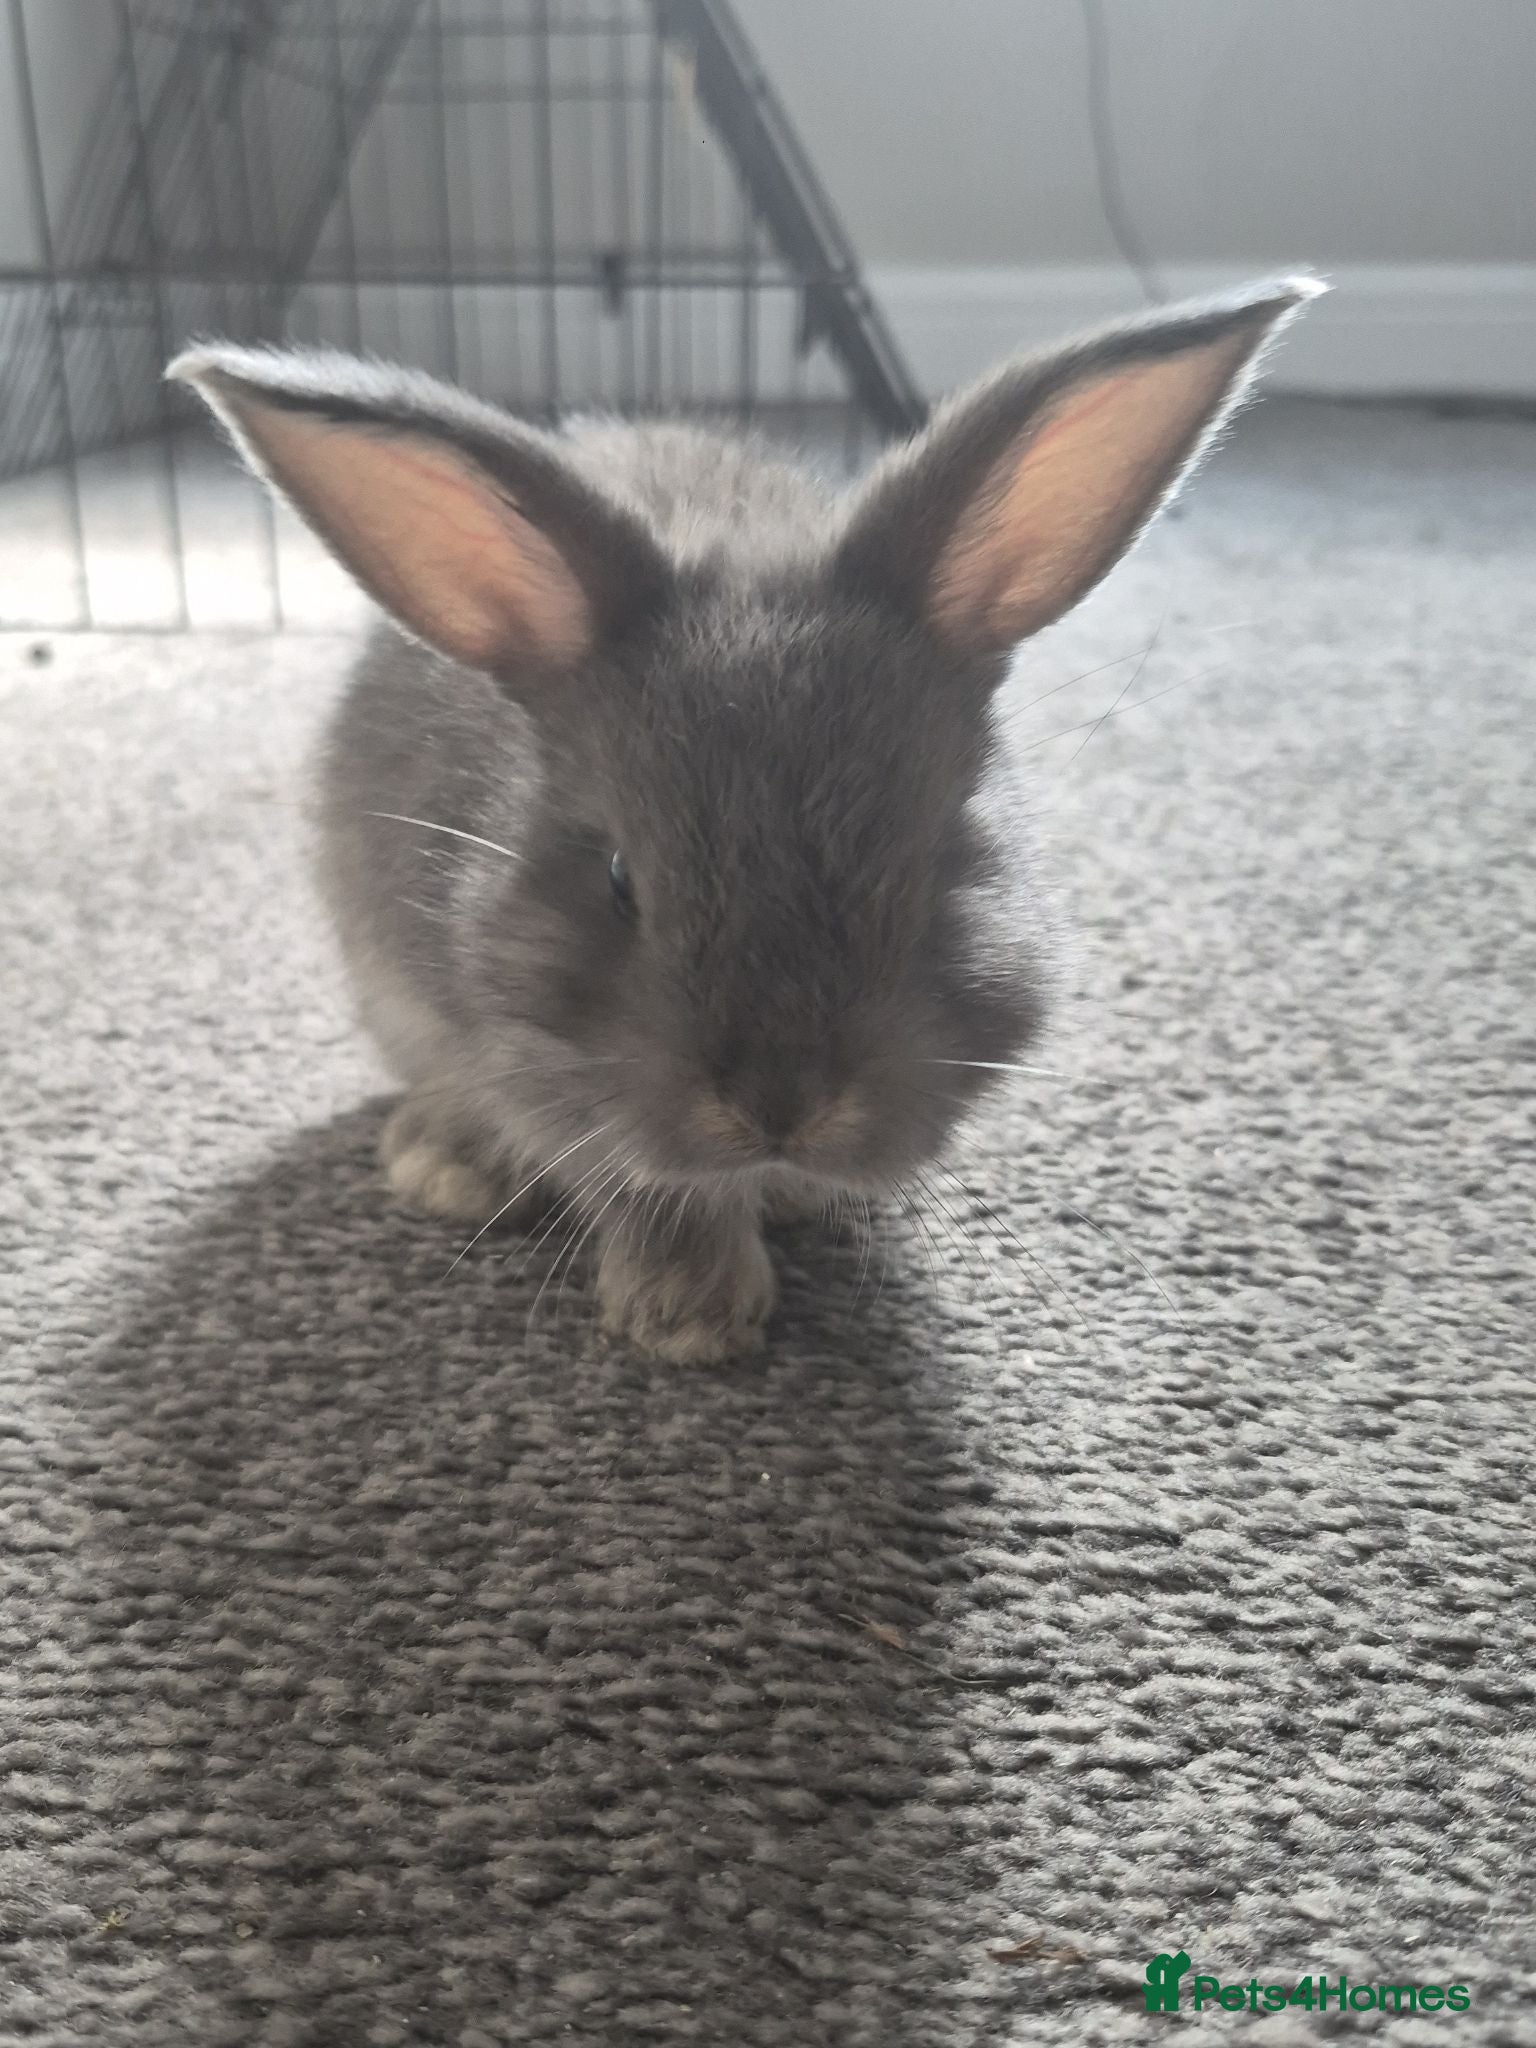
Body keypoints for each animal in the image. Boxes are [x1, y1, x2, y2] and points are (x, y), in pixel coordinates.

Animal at [170, 275, 1320, 1364]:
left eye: (938, 856)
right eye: (620, 880)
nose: (782, 1107)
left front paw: (789, 1208)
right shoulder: (543, 1070)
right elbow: (644, 1182)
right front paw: (690, 1316)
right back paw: (447, 1164)